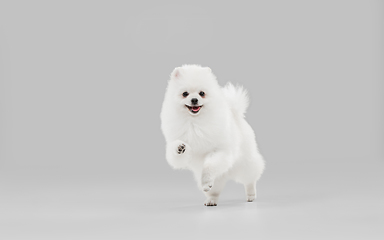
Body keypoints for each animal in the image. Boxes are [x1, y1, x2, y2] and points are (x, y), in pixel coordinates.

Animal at [160, 65, 266, 206]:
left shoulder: (220, 151)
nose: (194, 100)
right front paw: (180, 147)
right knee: (215, 191)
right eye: (185, 93)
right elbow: (176, 153)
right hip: (219, 179)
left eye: (202, 93)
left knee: (250, 179)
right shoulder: (179, 149)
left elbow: (209, 166)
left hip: (246, 164)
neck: (194, 122)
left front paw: (206, 181)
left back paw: (250, 195)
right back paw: (211, 200)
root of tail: (235, 113)